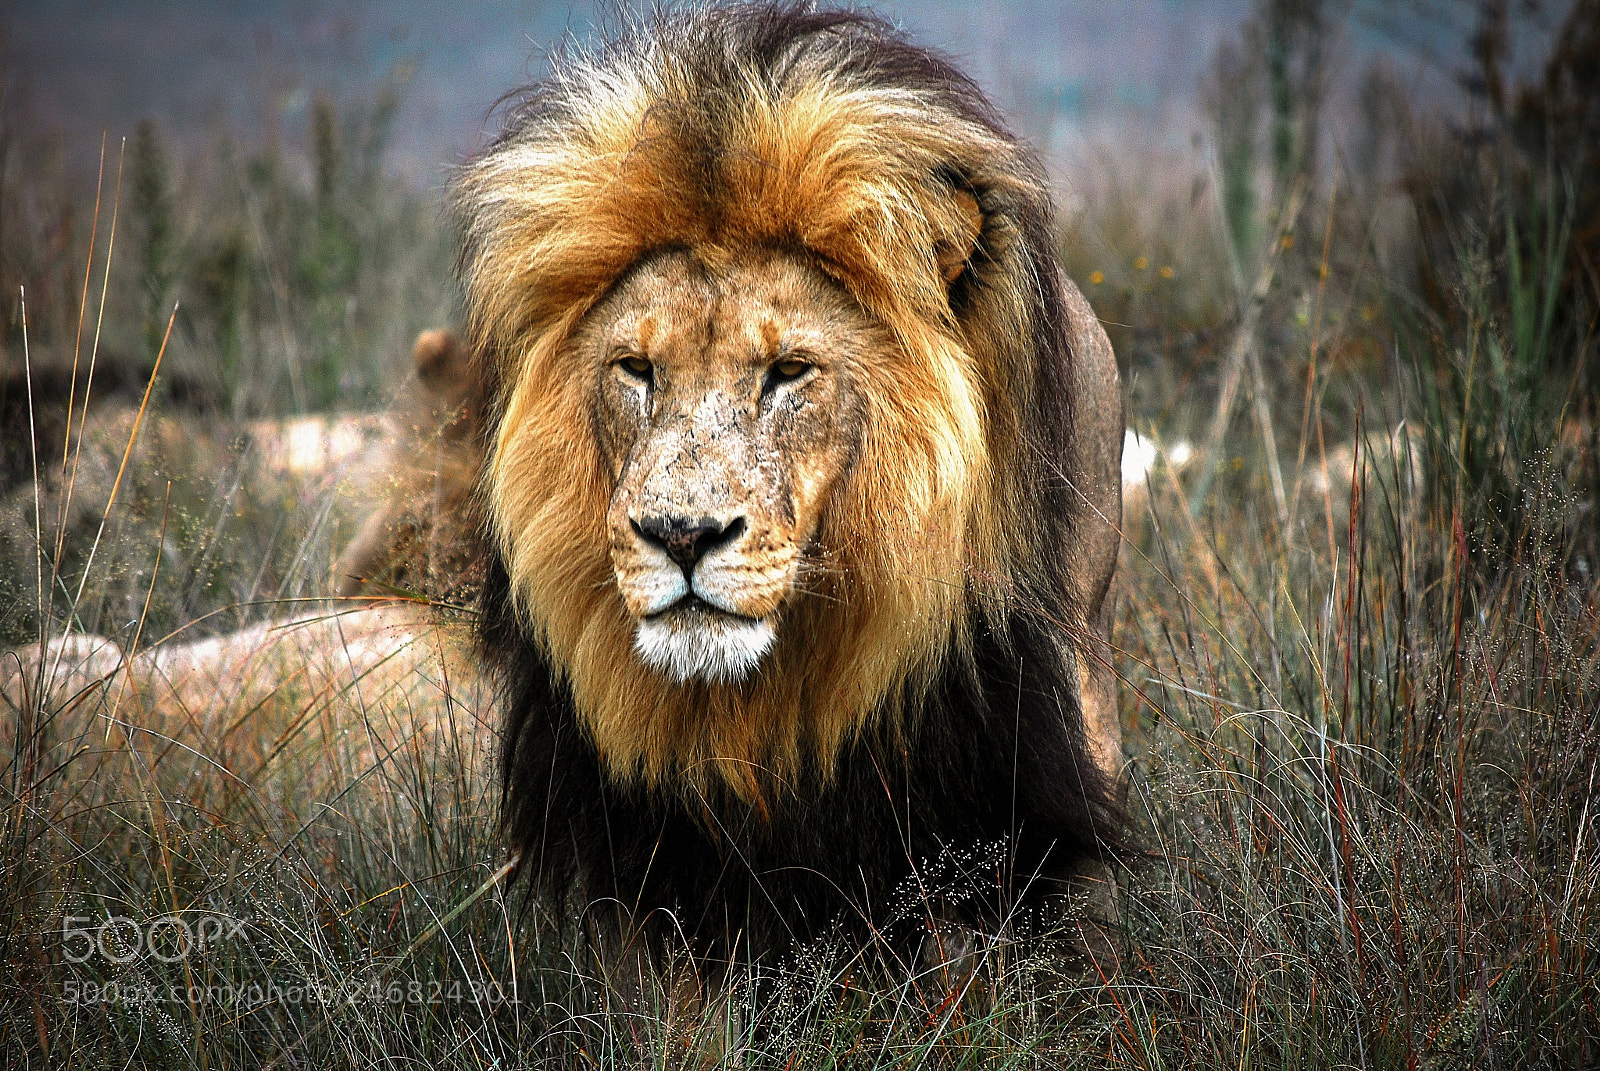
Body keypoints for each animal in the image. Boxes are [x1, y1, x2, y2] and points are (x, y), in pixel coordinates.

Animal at [455, 2, 1126, 969]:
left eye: (788, 372)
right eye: (635, 369)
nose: (682, 535)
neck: (756, 706)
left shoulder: (978, 779)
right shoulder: (648, 856)